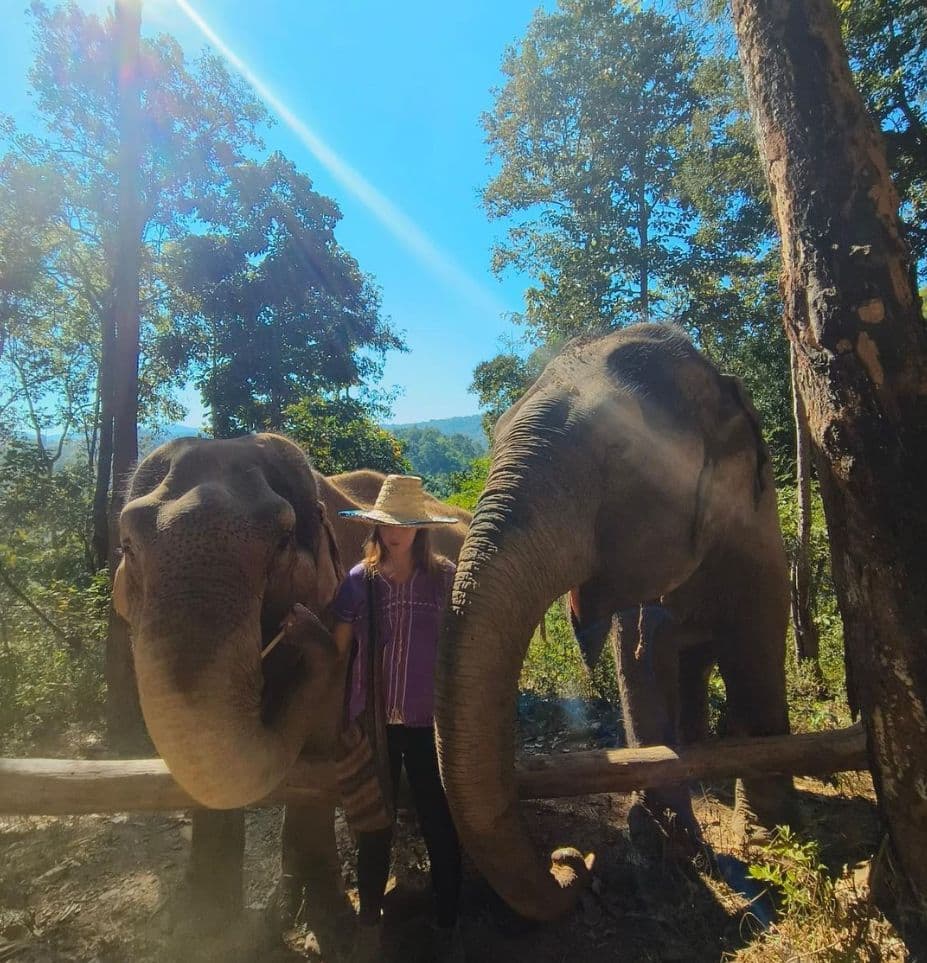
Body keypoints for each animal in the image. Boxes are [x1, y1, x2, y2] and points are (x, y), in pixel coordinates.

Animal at [112, 433, 470, 945]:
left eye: (283, 541)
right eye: (127, 545)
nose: (303, 628)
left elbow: (317, 750)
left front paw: (325, 920)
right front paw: (204, 924)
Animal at [434, 323, 792, 922]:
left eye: (622, 451)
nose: (569, 859)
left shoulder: (759, 540)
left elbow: (756, 652)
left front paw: (766, 843)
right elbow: (641, 664)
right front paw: (675, 839)